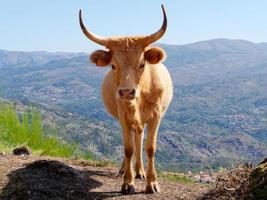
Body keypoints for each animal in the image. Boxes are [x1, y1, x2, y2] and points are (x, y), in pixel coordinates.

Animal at [79, 4, 174, 195]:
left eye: (142, 64)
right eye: (113, 65)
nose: (126, 92)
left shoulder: (156, 115)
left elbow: (150, 148)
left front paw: (152, 183)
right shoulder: (123, 114)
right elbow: (128, 148)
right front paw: (128, 183)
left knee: (139, 137)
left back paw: (140, 171)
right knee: (132, 140)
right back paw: (125, 170)